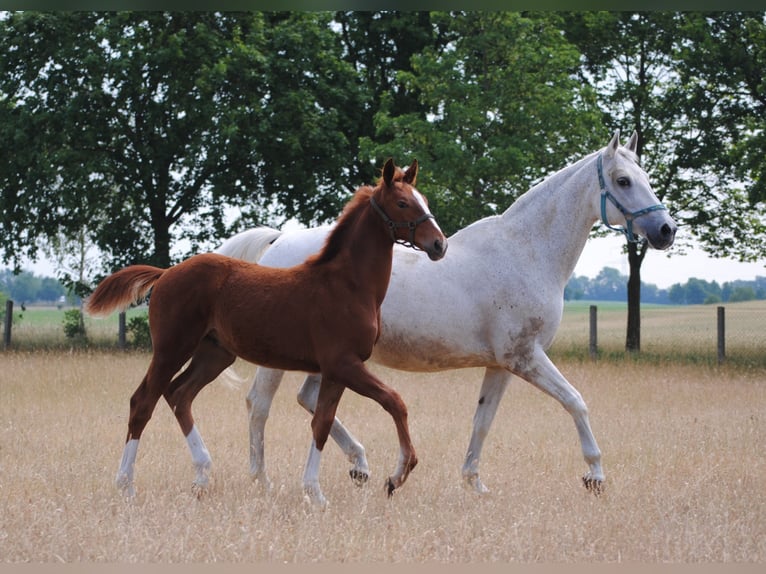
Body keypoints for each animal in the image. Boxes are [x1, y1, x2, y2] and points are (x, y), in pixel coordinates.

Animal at [88, 160, 450, 506]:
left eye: (424, 200)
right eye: (402, 203)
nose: (439, 244)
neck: (347, 285)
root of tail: (166, 273)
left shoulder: (336, 370)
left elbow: (322, 422)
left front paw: (316, 492)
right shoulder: (344, 363)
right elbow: (394, 401)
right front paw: (397, 475)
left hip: (214, 353)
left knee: (180, 394)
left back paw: (202, 475)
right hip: (171, 348)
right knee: (143, 402)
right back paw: (127, 486)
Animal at [218, 130, 680, 504]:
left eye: (645, 177)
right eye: (623, 181)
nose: (666, 230)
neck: (526, 252)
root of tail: (279, 243)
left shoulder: (502, 365)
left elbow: (482, 422)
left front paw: (474, 482)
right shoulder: (526, 358)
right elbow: (576, 402)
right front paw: (595, 475)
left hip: (331, 360)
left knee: (309, 401)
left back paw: (360, 465)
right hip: (286, 360)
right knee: (259, 405)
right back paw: (262, 481)